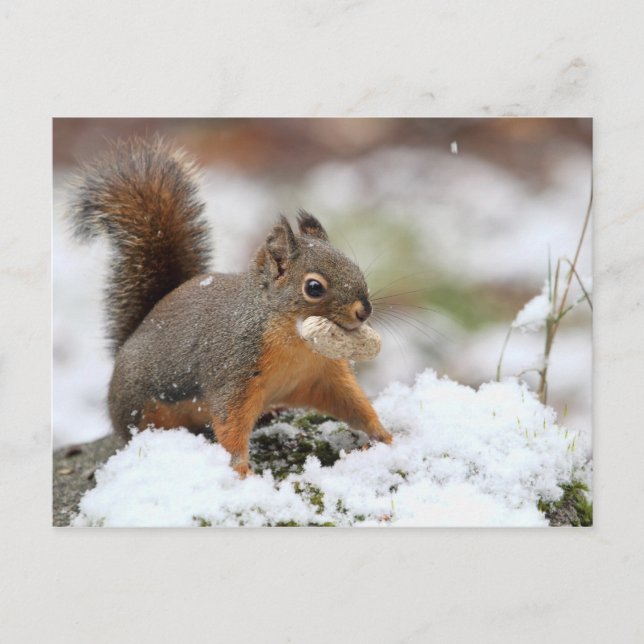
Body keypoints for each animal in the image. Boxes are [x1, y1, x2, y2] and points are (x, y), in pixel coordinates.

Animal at [69, 136, 393, 477]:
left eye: (354, 267)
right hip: (141, 407)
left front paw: (384, 435)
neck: (295, 341)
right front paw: (241, 472)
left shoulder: (322, 374)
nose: (364, 310)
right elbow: (230, 423)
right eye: (314, 287)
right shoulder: (234, 371)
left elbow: (352, 403)